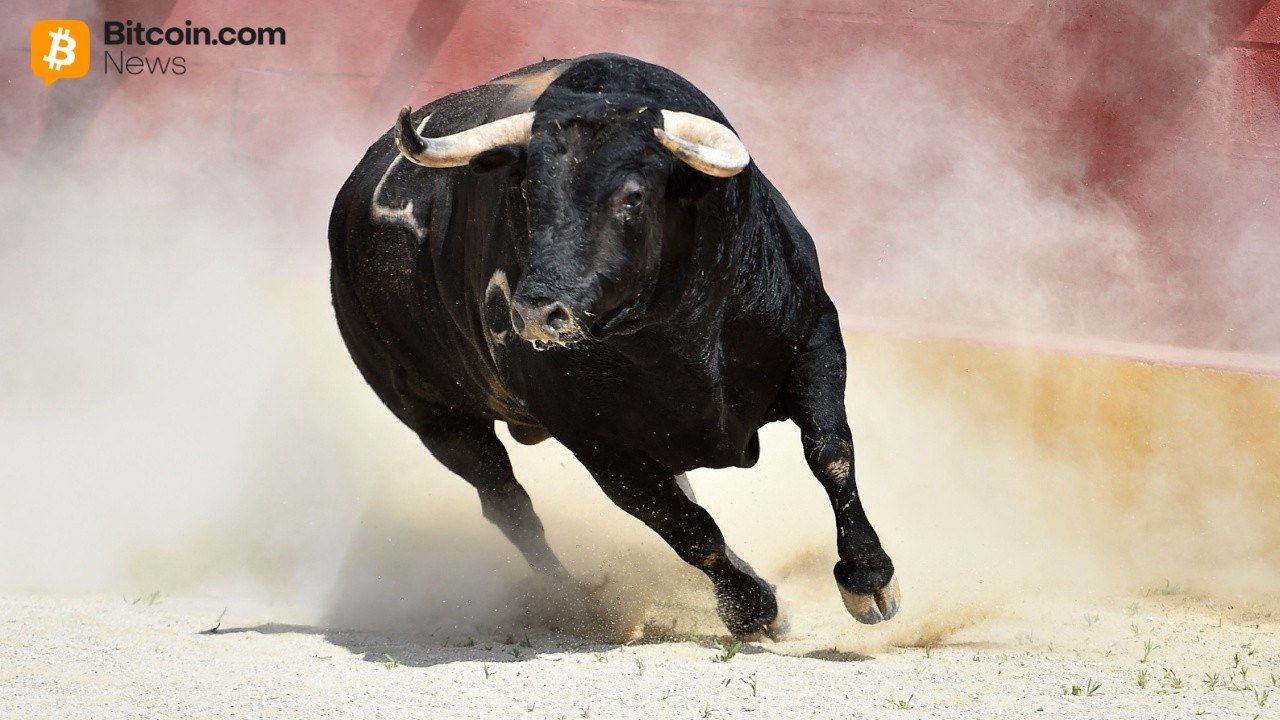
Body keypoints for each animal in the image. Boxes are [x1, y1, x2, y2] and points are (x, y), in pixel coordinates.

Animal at [329, 53, 899, 638]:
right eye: (526, 194)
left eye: (633, 196)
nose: (536, 314)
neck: (678, 339)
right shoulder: (597, 443)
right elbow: (684, 525)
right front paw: (754, 609)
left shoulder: (814, 338)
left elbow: (831, 452)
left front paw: (869, 578)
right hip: (435, 418)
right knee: (508, 503)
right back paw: (573, 597)